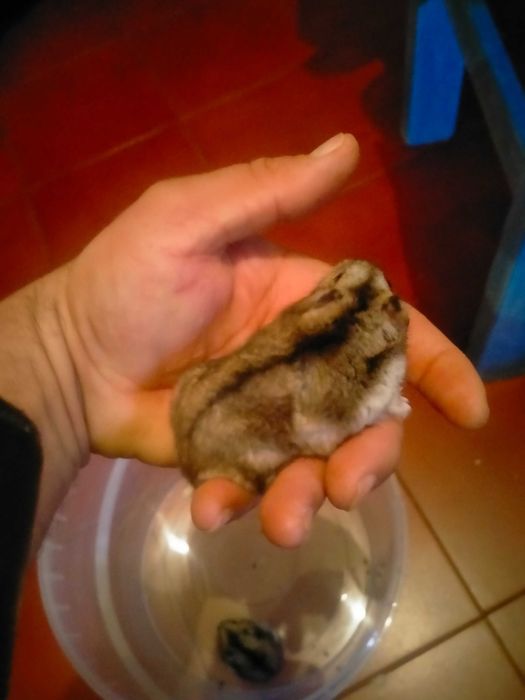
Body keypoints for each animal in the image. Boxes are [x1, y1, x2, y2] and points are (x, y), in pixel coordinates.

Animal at [171, 259, 410, 493]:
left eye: (339, 275)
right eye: (390, 281)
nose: (370, 264)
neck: (355, 308)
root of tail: (186, 461)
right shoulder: (382, 396)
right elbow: (393, 402)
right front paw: (407, 407)